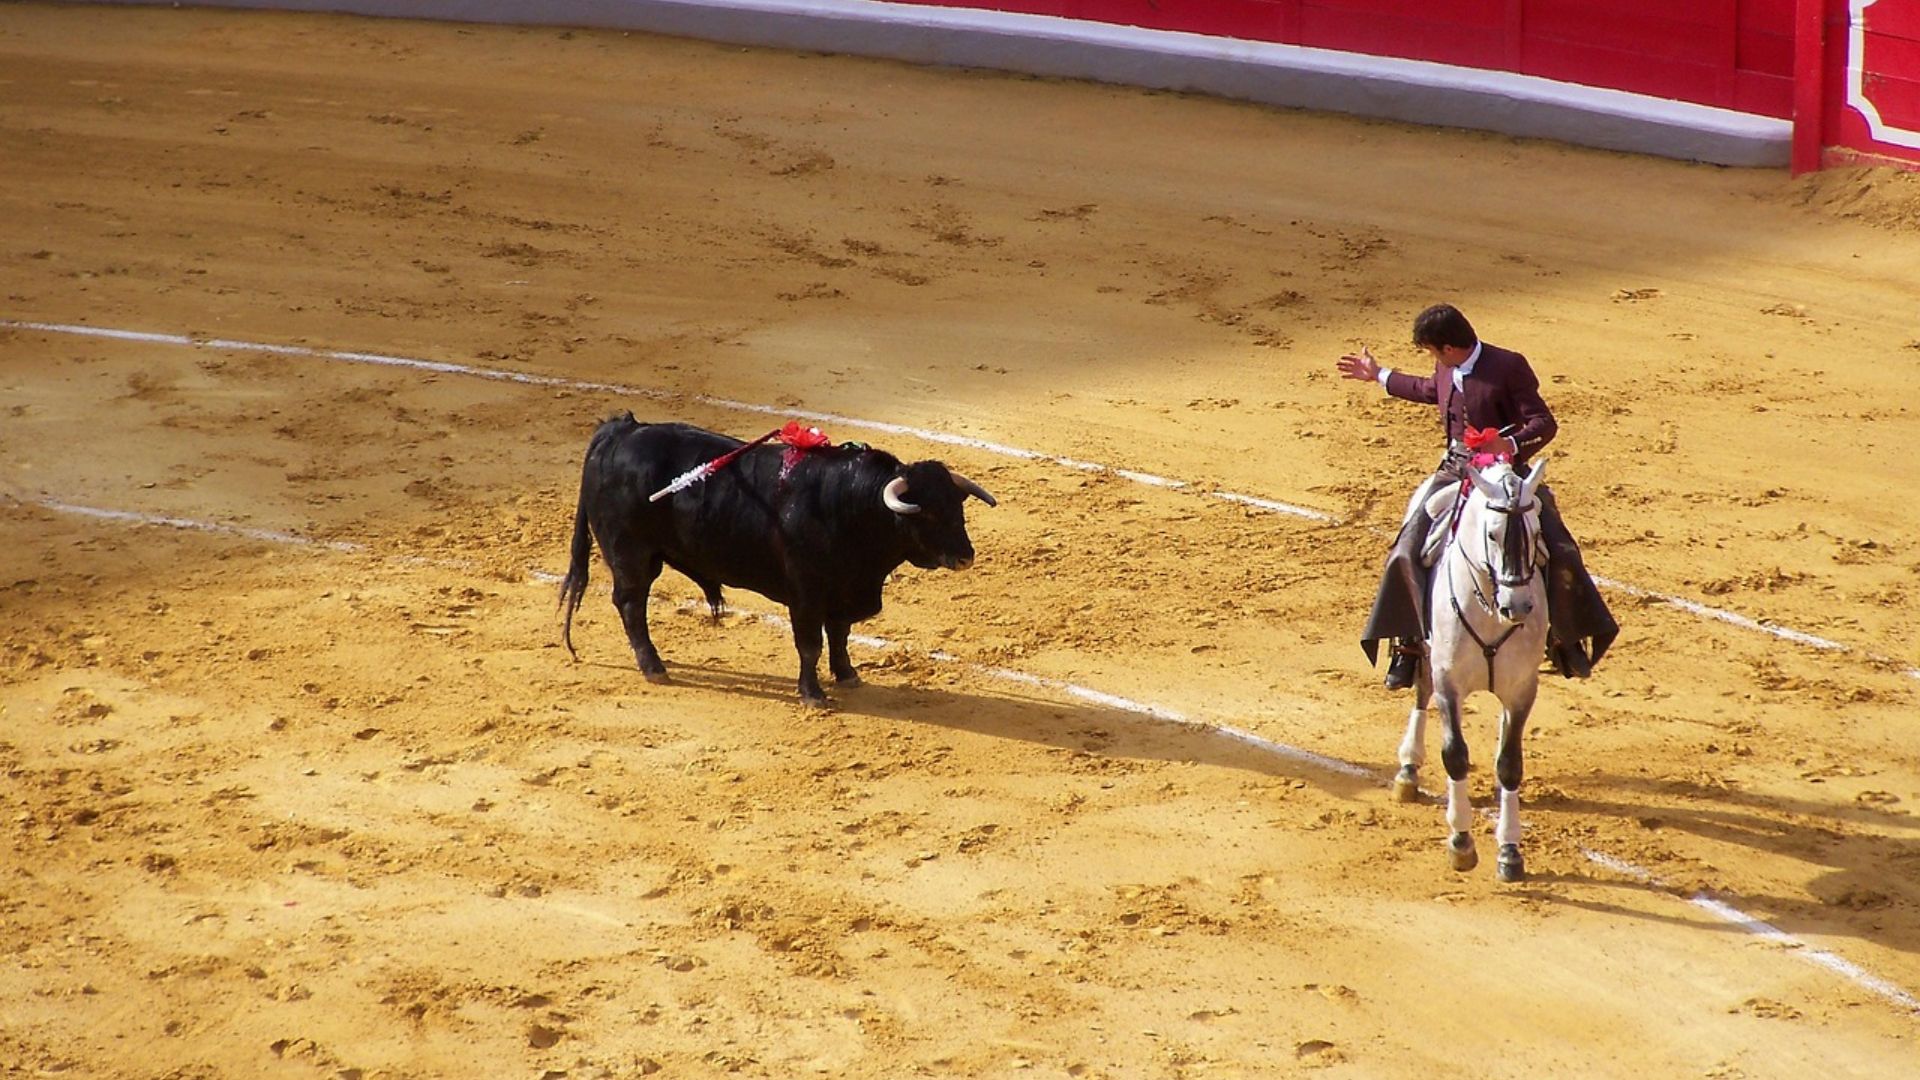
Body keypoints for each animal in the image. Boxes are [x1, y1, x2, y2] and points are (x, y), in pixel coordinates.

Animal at [560, 417, 998, 703]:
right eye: (926, 513)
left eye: (958, 507)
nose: (965, 557)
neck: (848, 504)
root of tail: (621, 430)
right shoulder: (806, 594)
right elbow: (810, 644)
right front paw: (813, 694)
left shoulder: (842, 592)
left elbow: (839, 636)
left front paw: (847, 675)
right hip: (631, 554)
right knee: (631, 603)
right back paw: (654, 667)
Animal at [1397, 457, 1543, 880]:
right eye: (1492, 534)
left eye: (1536, 531)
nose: (1518, 606)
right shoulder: (1449, 682)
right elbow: (1455, 755)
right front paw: (1461, 841)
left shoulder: (1522, 689)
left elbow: (1510, 763)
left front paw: (1510, 851)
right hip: (1426, 651)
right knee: (1421, 688)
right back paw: (1408, 767)